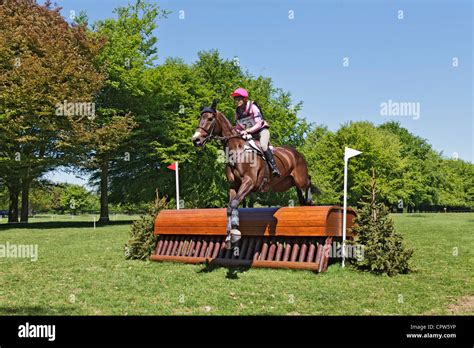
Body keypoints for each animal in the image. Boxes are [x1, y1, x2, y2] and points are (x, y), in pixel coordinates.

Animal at [191, 99, 316, 249]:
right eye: (200, 118)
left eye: (210, 119)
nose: (196, 140)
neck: (237, 151)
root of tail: (296, 153)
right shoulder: (234, 185)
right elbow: (230, 206)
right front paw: (230, 235)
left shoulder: (249, 182)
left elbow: (234, 204)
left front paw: (234, 233)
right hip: (285, 183)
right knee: (299, 187)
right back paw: (303, 201)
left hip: (300, 178)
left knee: (309, 181)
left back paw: (309, 201)